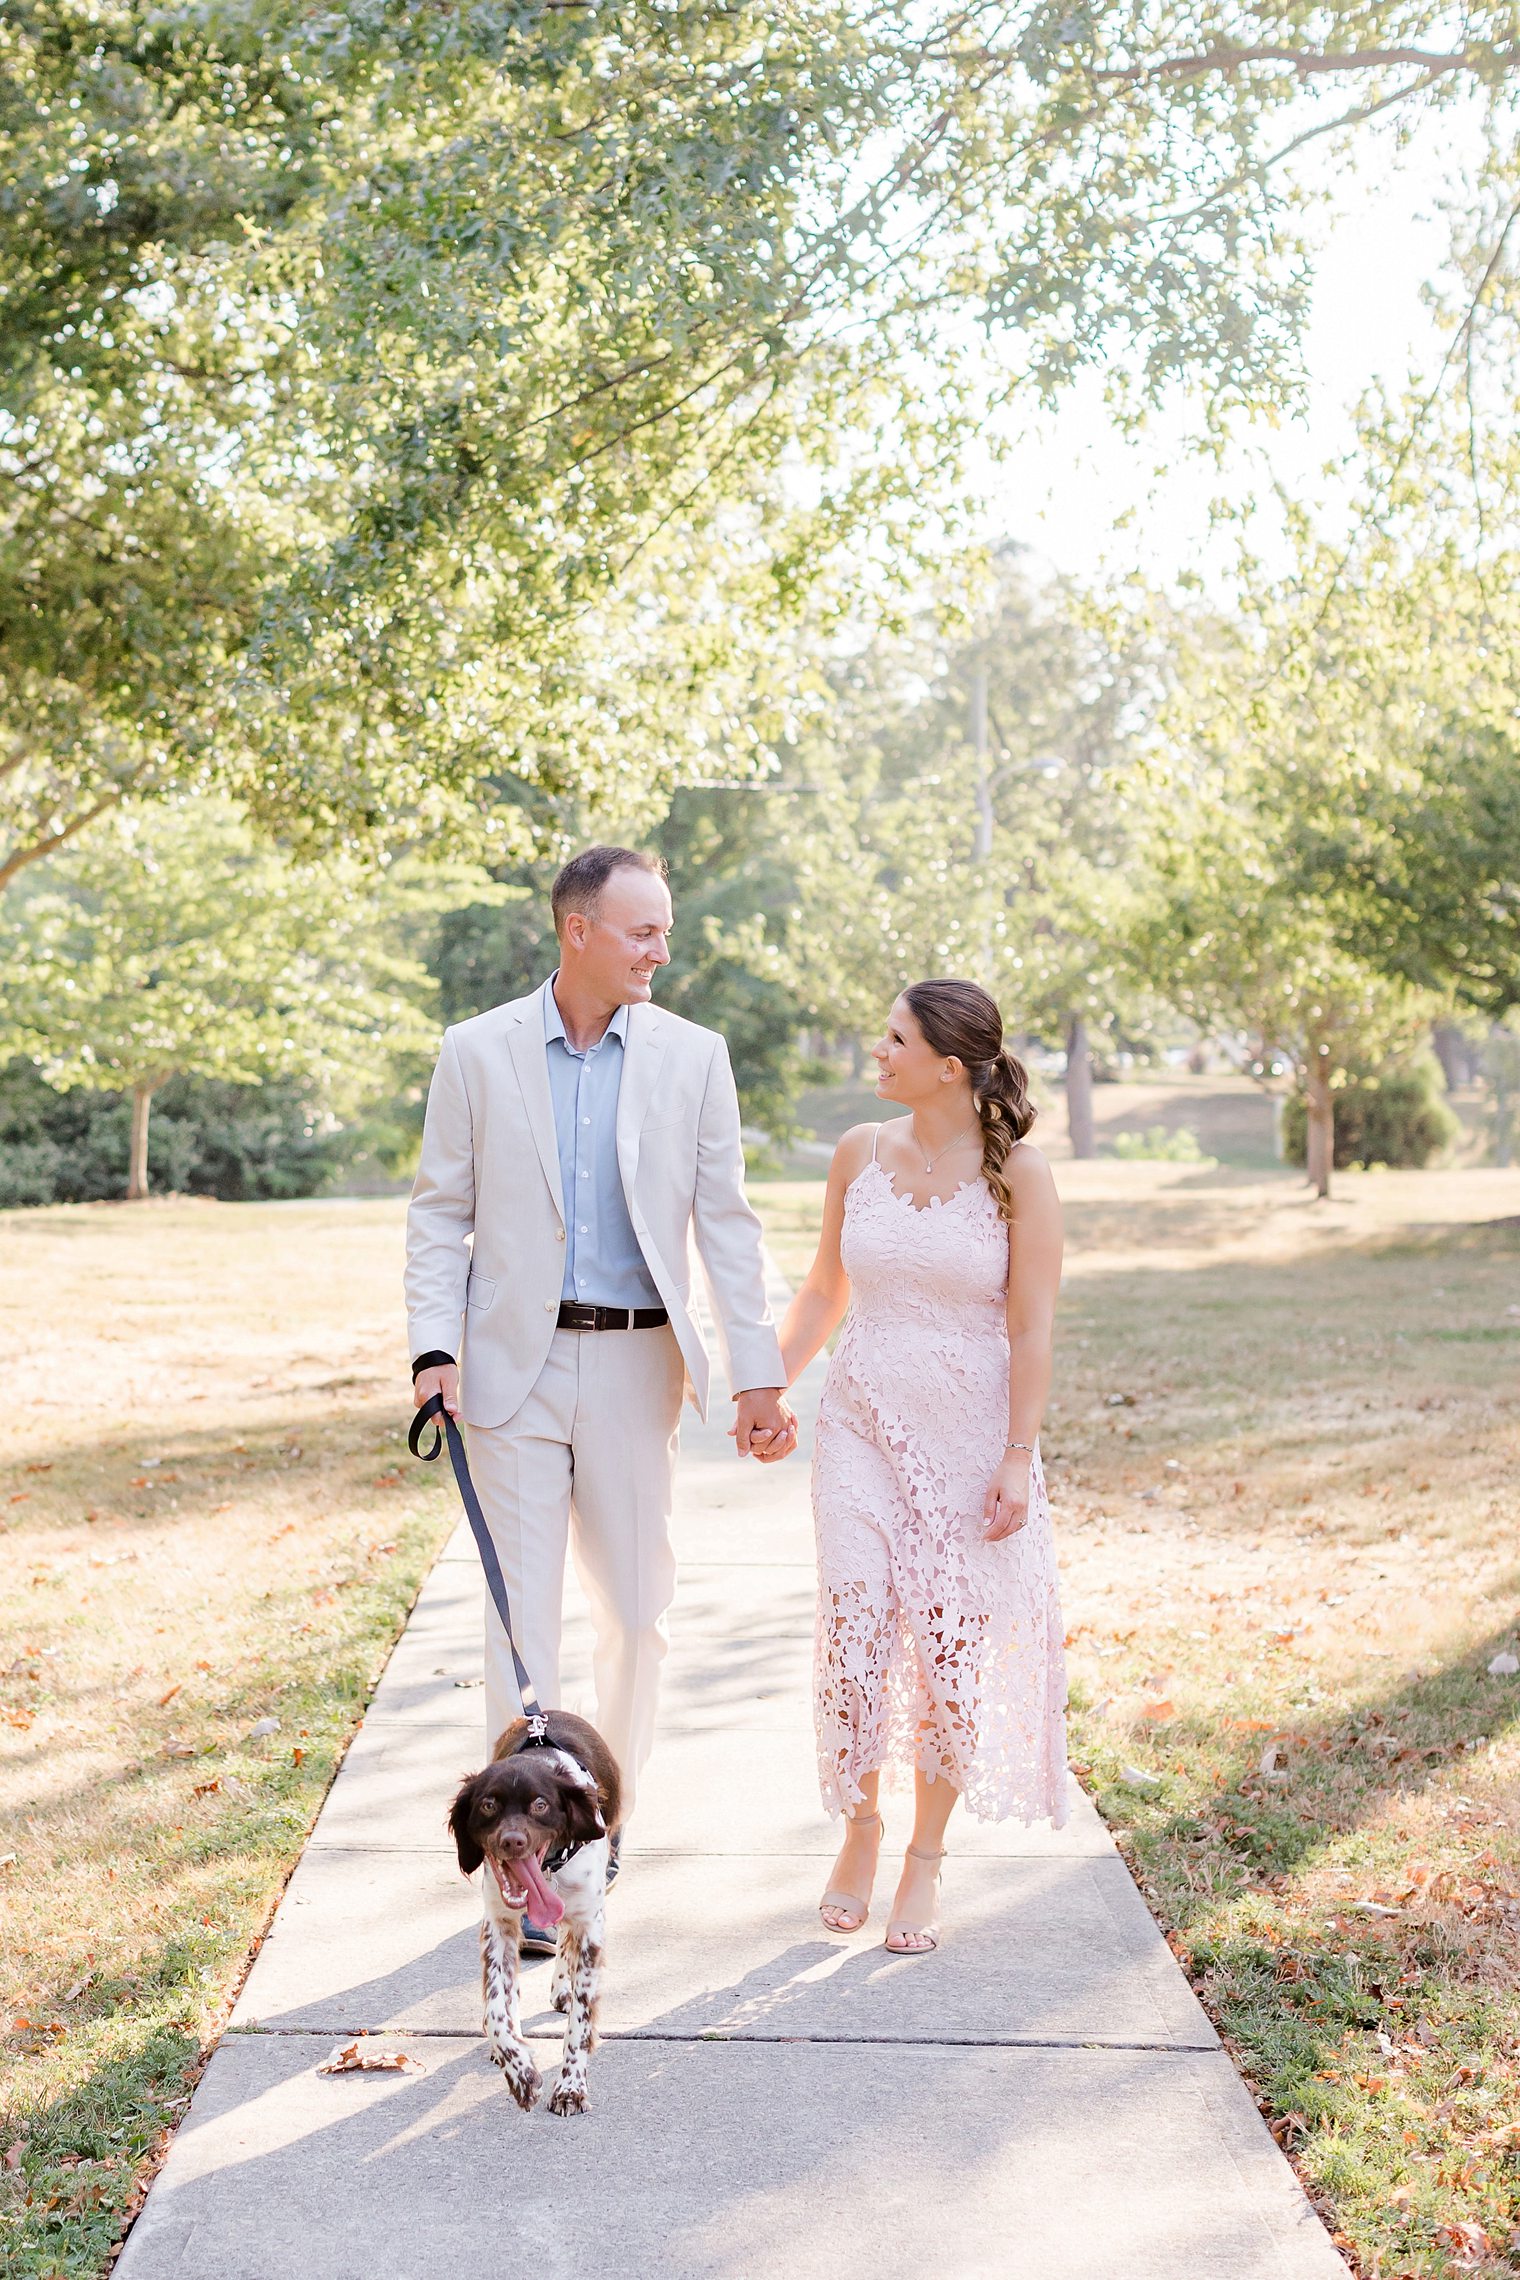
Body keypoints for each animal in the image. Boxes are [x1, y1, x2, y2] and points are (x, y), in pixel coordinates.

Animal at [448, 1714, 619, 2115]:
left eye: (540, 1805)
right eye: (488, 1805)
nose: (513, 1841)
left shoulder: (590, 1924)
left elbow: (581, 2021)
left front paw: (571, 2086)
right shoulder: (498, 1925)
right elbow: (498, 2009)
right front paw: (520, 2072)